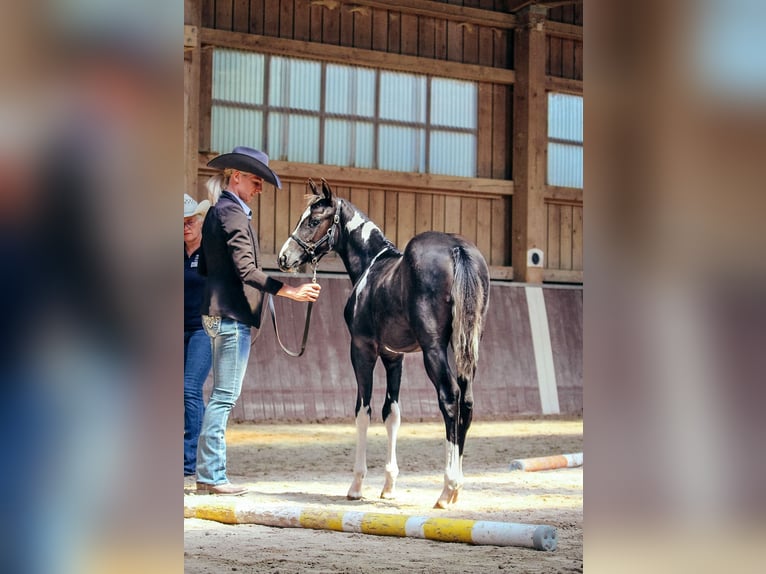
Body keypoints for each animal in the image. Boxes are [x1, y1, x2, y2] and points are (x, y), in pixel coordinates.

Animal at [278, 180, 490, 508]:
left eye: (313, 220)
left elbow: (362, 412)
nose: (284, 258)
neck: (372, 265)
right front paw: (388, 486)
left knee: (450, 398)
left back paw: (447, 489)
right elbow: (392, 413)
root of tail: (457, 249)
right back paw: (456, 489)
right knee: (466, 401)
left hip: (434, 350)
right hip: (466, 345)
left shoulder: (362, 350)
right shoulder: (394, 357)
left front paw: (356, 485)